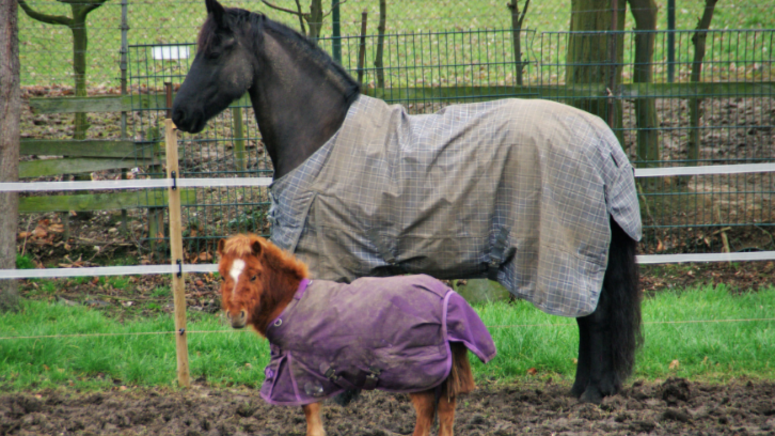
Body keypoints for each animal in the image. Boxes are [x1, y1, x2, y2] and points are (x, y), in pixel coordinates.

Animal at [174, 0, 644, 406]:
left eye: (215, 51)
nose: (178, 112)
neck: (323, 137)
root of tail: (601, 139)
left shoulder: (332, 258)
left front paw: (336, 395)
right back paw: (584, 388)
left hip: (569, 256)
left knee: (594, 316)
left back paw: (591, 393)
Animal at [217, 233, 498, 436]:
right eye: (221, 276)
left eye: (254, 276)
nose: (236, 316)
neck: (290, 302)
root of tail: (448, 297)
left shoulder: (303, 377)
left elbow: (312, 420)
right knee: (446, 413)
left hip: (418, 376)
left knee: (426, 414)